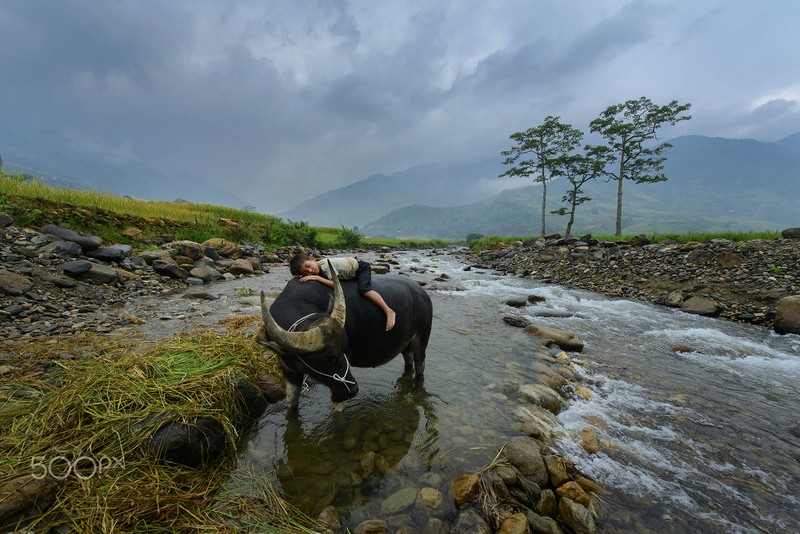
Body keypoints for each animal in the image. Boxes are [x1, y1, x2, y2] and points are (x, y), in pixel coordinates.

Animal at [260, 266, 434, 412]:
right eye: (325, 359)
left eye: (344, 349)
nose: (353, 391)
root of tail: (422, 293)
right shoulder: (289, 369)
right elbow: (292, 402)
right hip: (406, 344)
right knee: (408, 361)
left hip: (422, 339)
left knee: (420, 365)